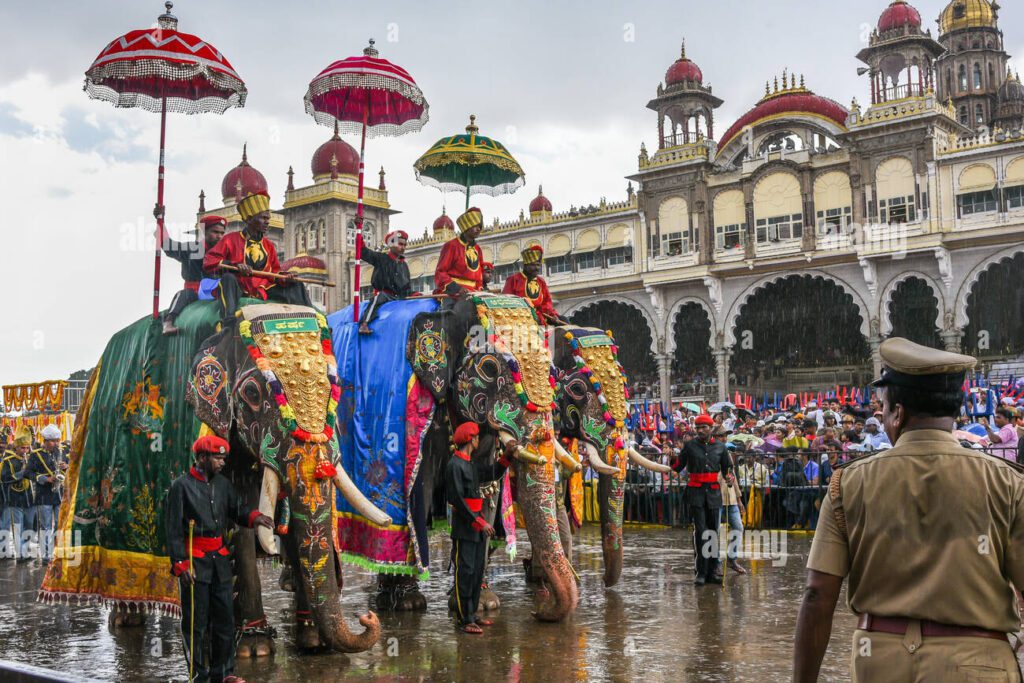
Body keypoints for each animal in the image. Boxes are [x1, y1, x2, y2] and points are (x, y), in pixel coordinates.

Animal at [41, 301, 391, 659]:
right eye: (251, 392)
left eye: (336, 386)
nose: (367, 617)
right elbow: (238, 524)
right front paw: (253, 648)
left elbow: (291, 525)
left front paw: (314, 642)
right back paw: (126, 618)